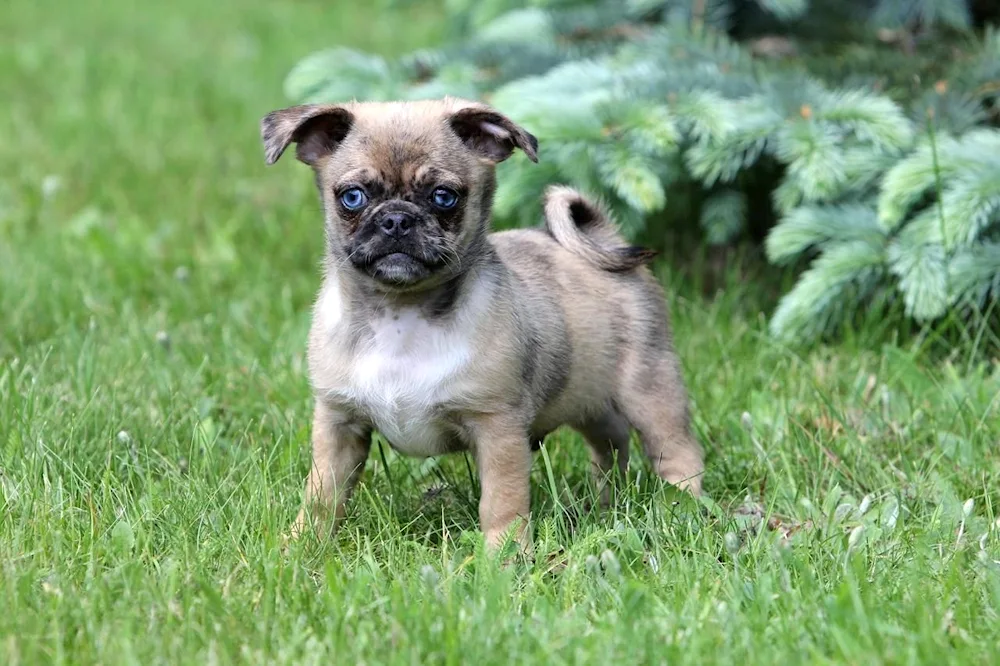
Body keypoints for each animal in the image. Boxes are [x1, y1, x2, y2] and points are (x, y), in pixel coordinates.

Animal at [262, 96, 708, 548]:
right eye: (352, 198)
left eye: (444, 197)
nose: (397, 220)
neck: (401, 314)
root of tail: (606, 241)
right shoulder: (338, 424)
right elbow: (323, 492)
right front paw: (302, 545)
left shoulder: (497, 429)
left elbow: (501, 501)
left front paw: (504, 553)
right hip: (586, 396)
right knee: (611, 441)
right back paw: (607, 502)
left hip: (649, 390)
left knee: (676, 451)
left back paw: (682, 507)